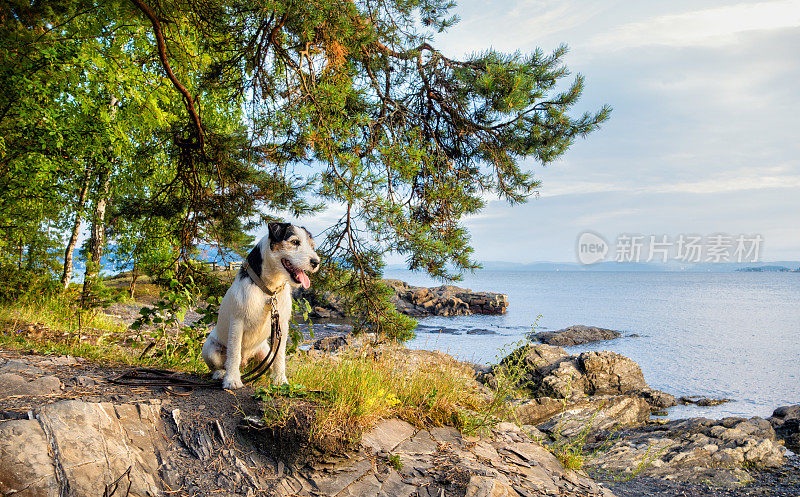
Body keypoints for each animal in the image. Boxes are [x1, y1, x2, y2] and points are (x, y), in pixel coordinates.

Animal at [200, 221, 318, 388]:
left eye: (312, 246)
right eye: (295, 242)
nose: (316, 262)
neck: (268, 288)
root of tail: (245, 362)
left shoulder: (282, 325)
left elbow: (279, 356)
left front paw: (280, 380)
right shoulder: (237, 322)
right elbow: (234, 352)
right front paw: (232, 380)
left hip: (264, 353)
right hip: (210, 349)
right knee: (220, 365)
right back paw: (221, 374)